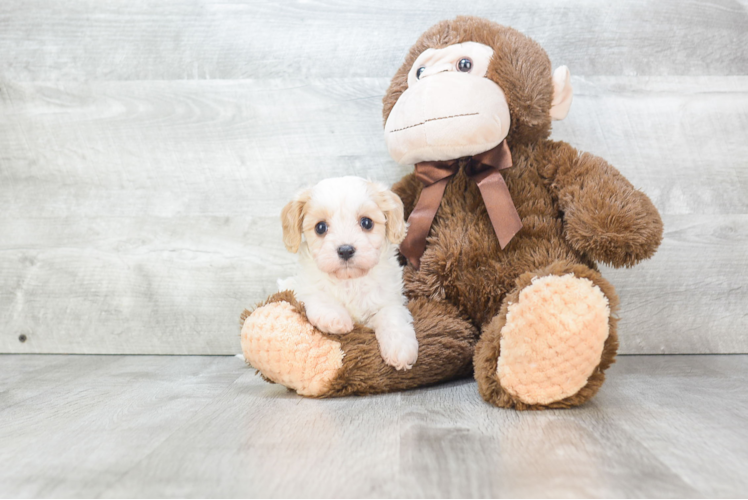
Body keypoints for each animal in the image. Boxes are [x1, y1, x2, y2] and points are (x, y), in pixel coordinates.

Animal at [278, 176, 418, 372]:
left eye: (367, 223)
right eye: (320, 227)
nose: (345, 250)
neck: (350, 281)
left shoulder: (389, 298)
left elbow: (391, 317)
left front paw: (401, 349)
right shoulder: (304, 287)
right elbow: (319, 297)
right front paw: (336, 318)